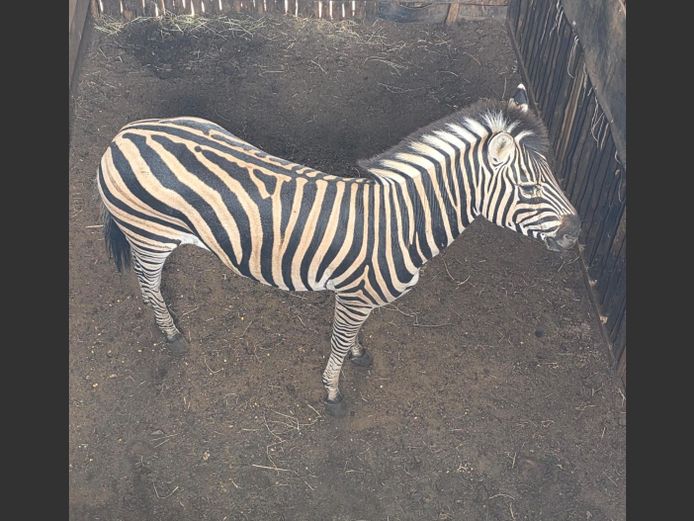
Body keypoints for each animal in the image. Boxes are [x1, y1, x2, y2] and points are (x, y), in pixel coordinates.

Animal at [97, 84, 580, 416]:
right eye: (529, 188)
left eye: (555, 177)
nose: (576, 231)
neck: (404, 223)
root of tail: (124, 134)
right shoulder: (352, 297)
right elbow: (339, 341)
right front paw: (332, 392)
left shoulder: (358, 298)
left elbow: (354, 337)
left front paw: (359, 354)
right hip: (149, 237)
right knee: (148, 284)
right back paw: (171, 334)